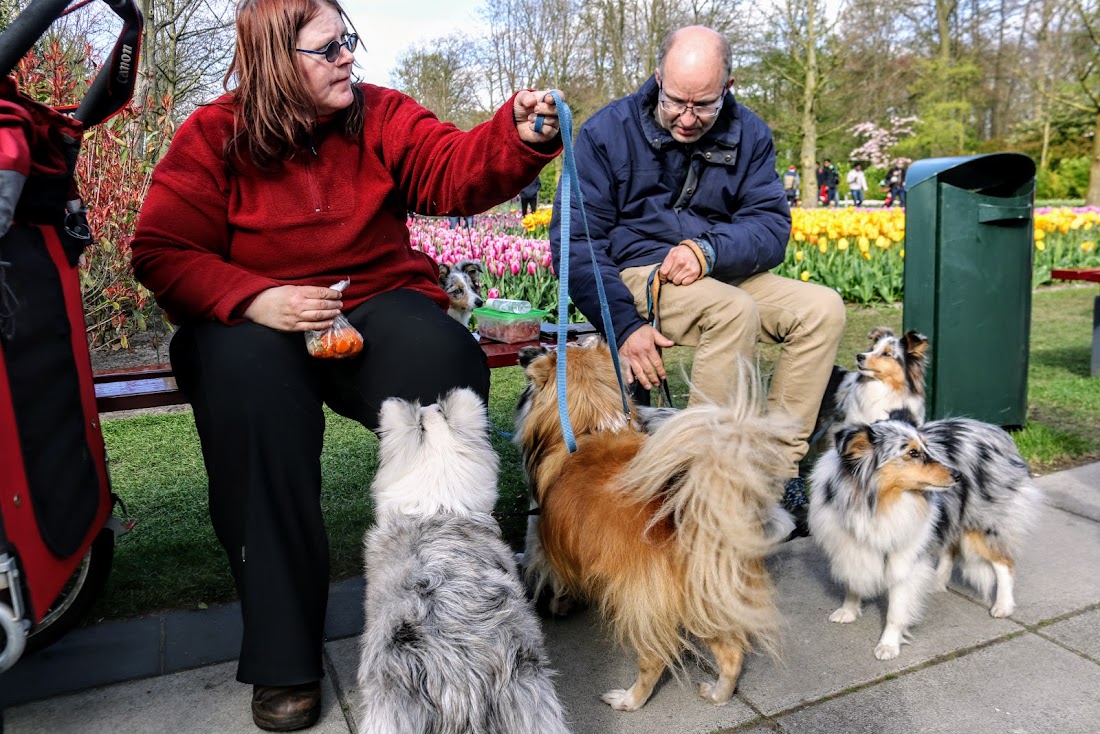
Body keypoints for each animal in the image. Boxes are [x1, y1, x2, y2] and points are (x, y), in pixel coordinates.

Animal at [510, 338, 796, 713]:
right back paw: (718, 694)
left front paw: (558, 606)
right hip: (705, 596)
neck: (590, 426)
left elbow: (554, 576)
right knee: (732, 652)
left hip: (641, 603)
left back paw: (628, 700)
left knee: (655, 659)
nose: (523, 352)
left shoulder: (546, 539)